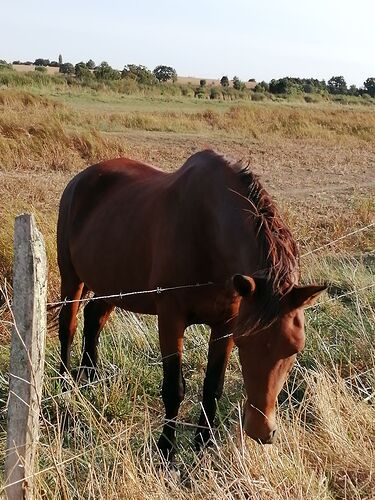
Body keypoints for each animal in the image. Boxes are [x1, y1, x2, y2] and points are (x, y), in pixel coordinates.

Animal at [56, 149, 326, 460]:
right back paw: (64, 387)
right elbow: (174, 389)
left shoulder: (225, 324)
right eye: (245, 344)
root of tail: (80, 179)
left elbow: (213, 387)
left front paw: (203, 445)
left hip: (111, 285)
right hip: (71, 279)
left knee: (93, 318)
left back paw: (90, 380)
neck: (207, 234)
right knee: (68, 327)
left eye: (295, 349)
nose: (260, 430)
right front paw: (166, 450)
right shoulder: (171, 319)